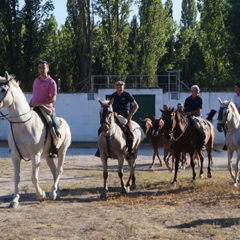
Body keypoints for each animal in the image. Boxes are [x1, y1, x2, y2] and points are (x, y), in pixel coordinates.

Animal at [0, 72, 71, 207]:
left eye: (3, 90)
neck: (23, 124)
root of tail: (65, 123)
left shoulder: (35, 155)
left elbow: (34, 177)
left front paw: (41, 195)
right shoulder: (15, 156)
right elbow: (16, 177)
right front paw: (14, 199)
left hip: (62, 151)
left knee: (59, 170)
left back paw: (52, 193)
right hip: (48, 155)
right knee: (54, 171)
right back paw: (56, 193)